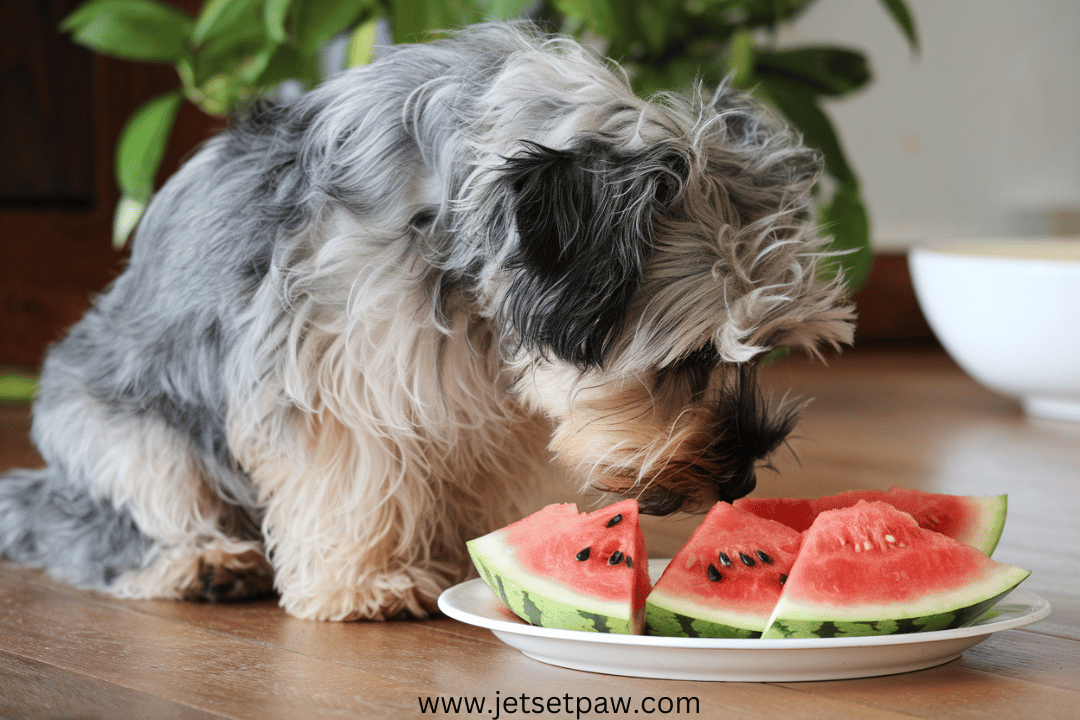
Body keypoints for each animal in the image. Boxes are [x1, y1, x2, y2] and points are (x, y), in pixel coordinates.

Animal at [0, 22, 851, 621]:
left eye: (761, 353)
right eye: (690, 358)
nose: (742, 481)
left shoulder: (480, 408)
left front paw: (471, 556)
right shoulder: (339, 384)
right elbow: (358, 483)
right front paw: (368, 583)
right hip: (124, 440)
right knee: (94, 530)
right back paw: (200, 564)